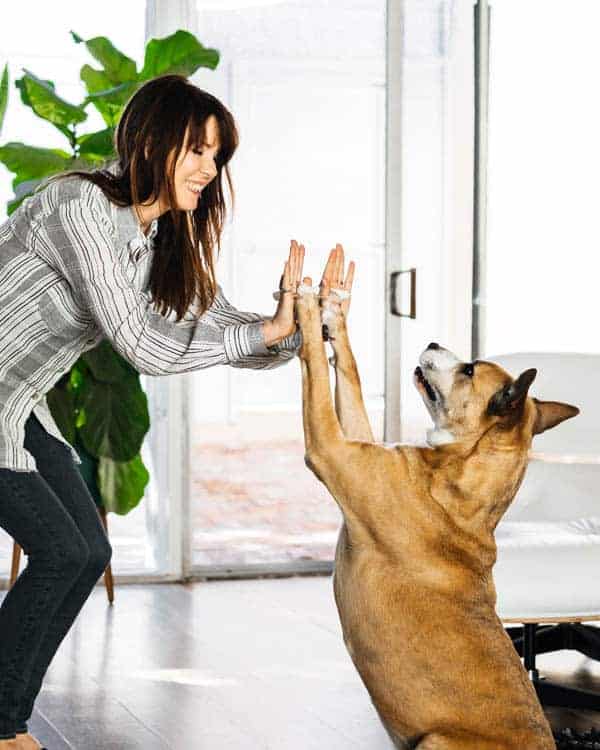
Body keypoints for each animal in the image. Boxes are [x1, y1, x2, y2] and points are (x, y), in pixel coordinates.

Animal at [298, 284, 580, 750]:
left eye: (468, 370)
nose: (431, 342)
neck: (459, 468)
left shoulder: (329, 448)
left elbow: (317, 374)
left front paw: (303, 309)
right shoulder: (352, 443)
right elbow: (350, 376)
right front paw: (334, 318)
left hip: (434, 739)